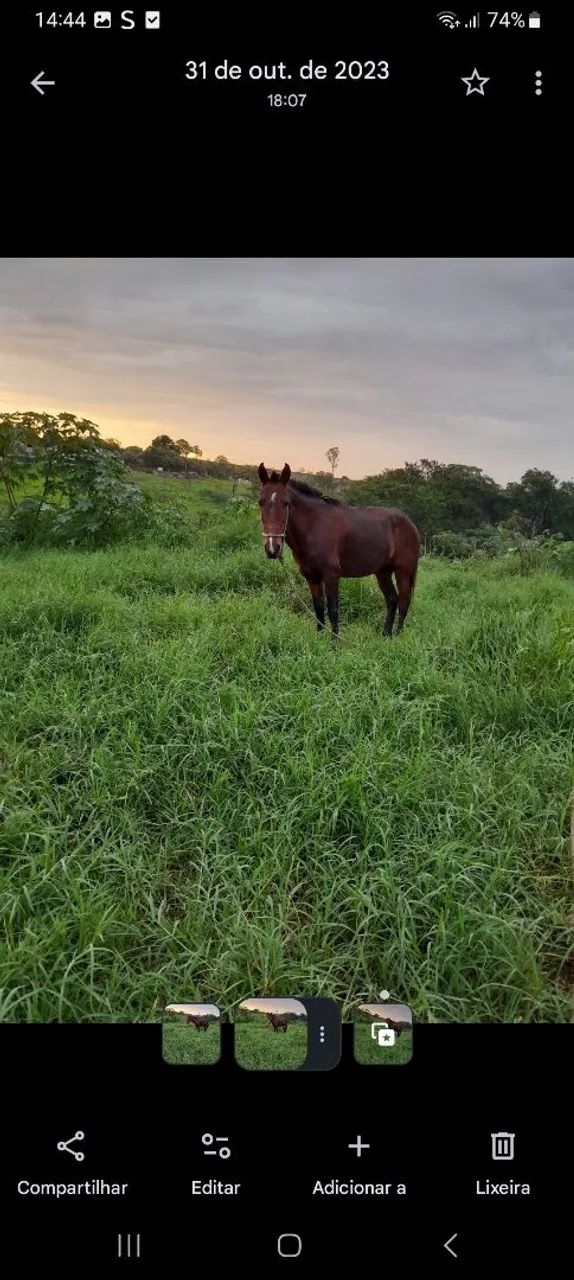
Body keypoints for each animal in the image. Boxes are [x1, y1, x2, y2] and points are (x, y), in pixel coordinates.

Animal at [257, 463, 420, 638]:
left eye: (286, 503)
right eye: (260, 502)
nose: (272, 548)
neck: (314, 526)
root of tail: (411, 524)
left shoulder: (331, 575)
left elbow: (333, 611)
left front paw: (334, 642)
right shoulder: (312, 577)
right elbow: (319, 609)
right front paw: (319, 638)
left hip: (403, 571)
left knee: (403, 603)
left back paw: (397, 637)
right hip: (383, 571)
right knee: (392, 600)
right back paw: (385, 635)